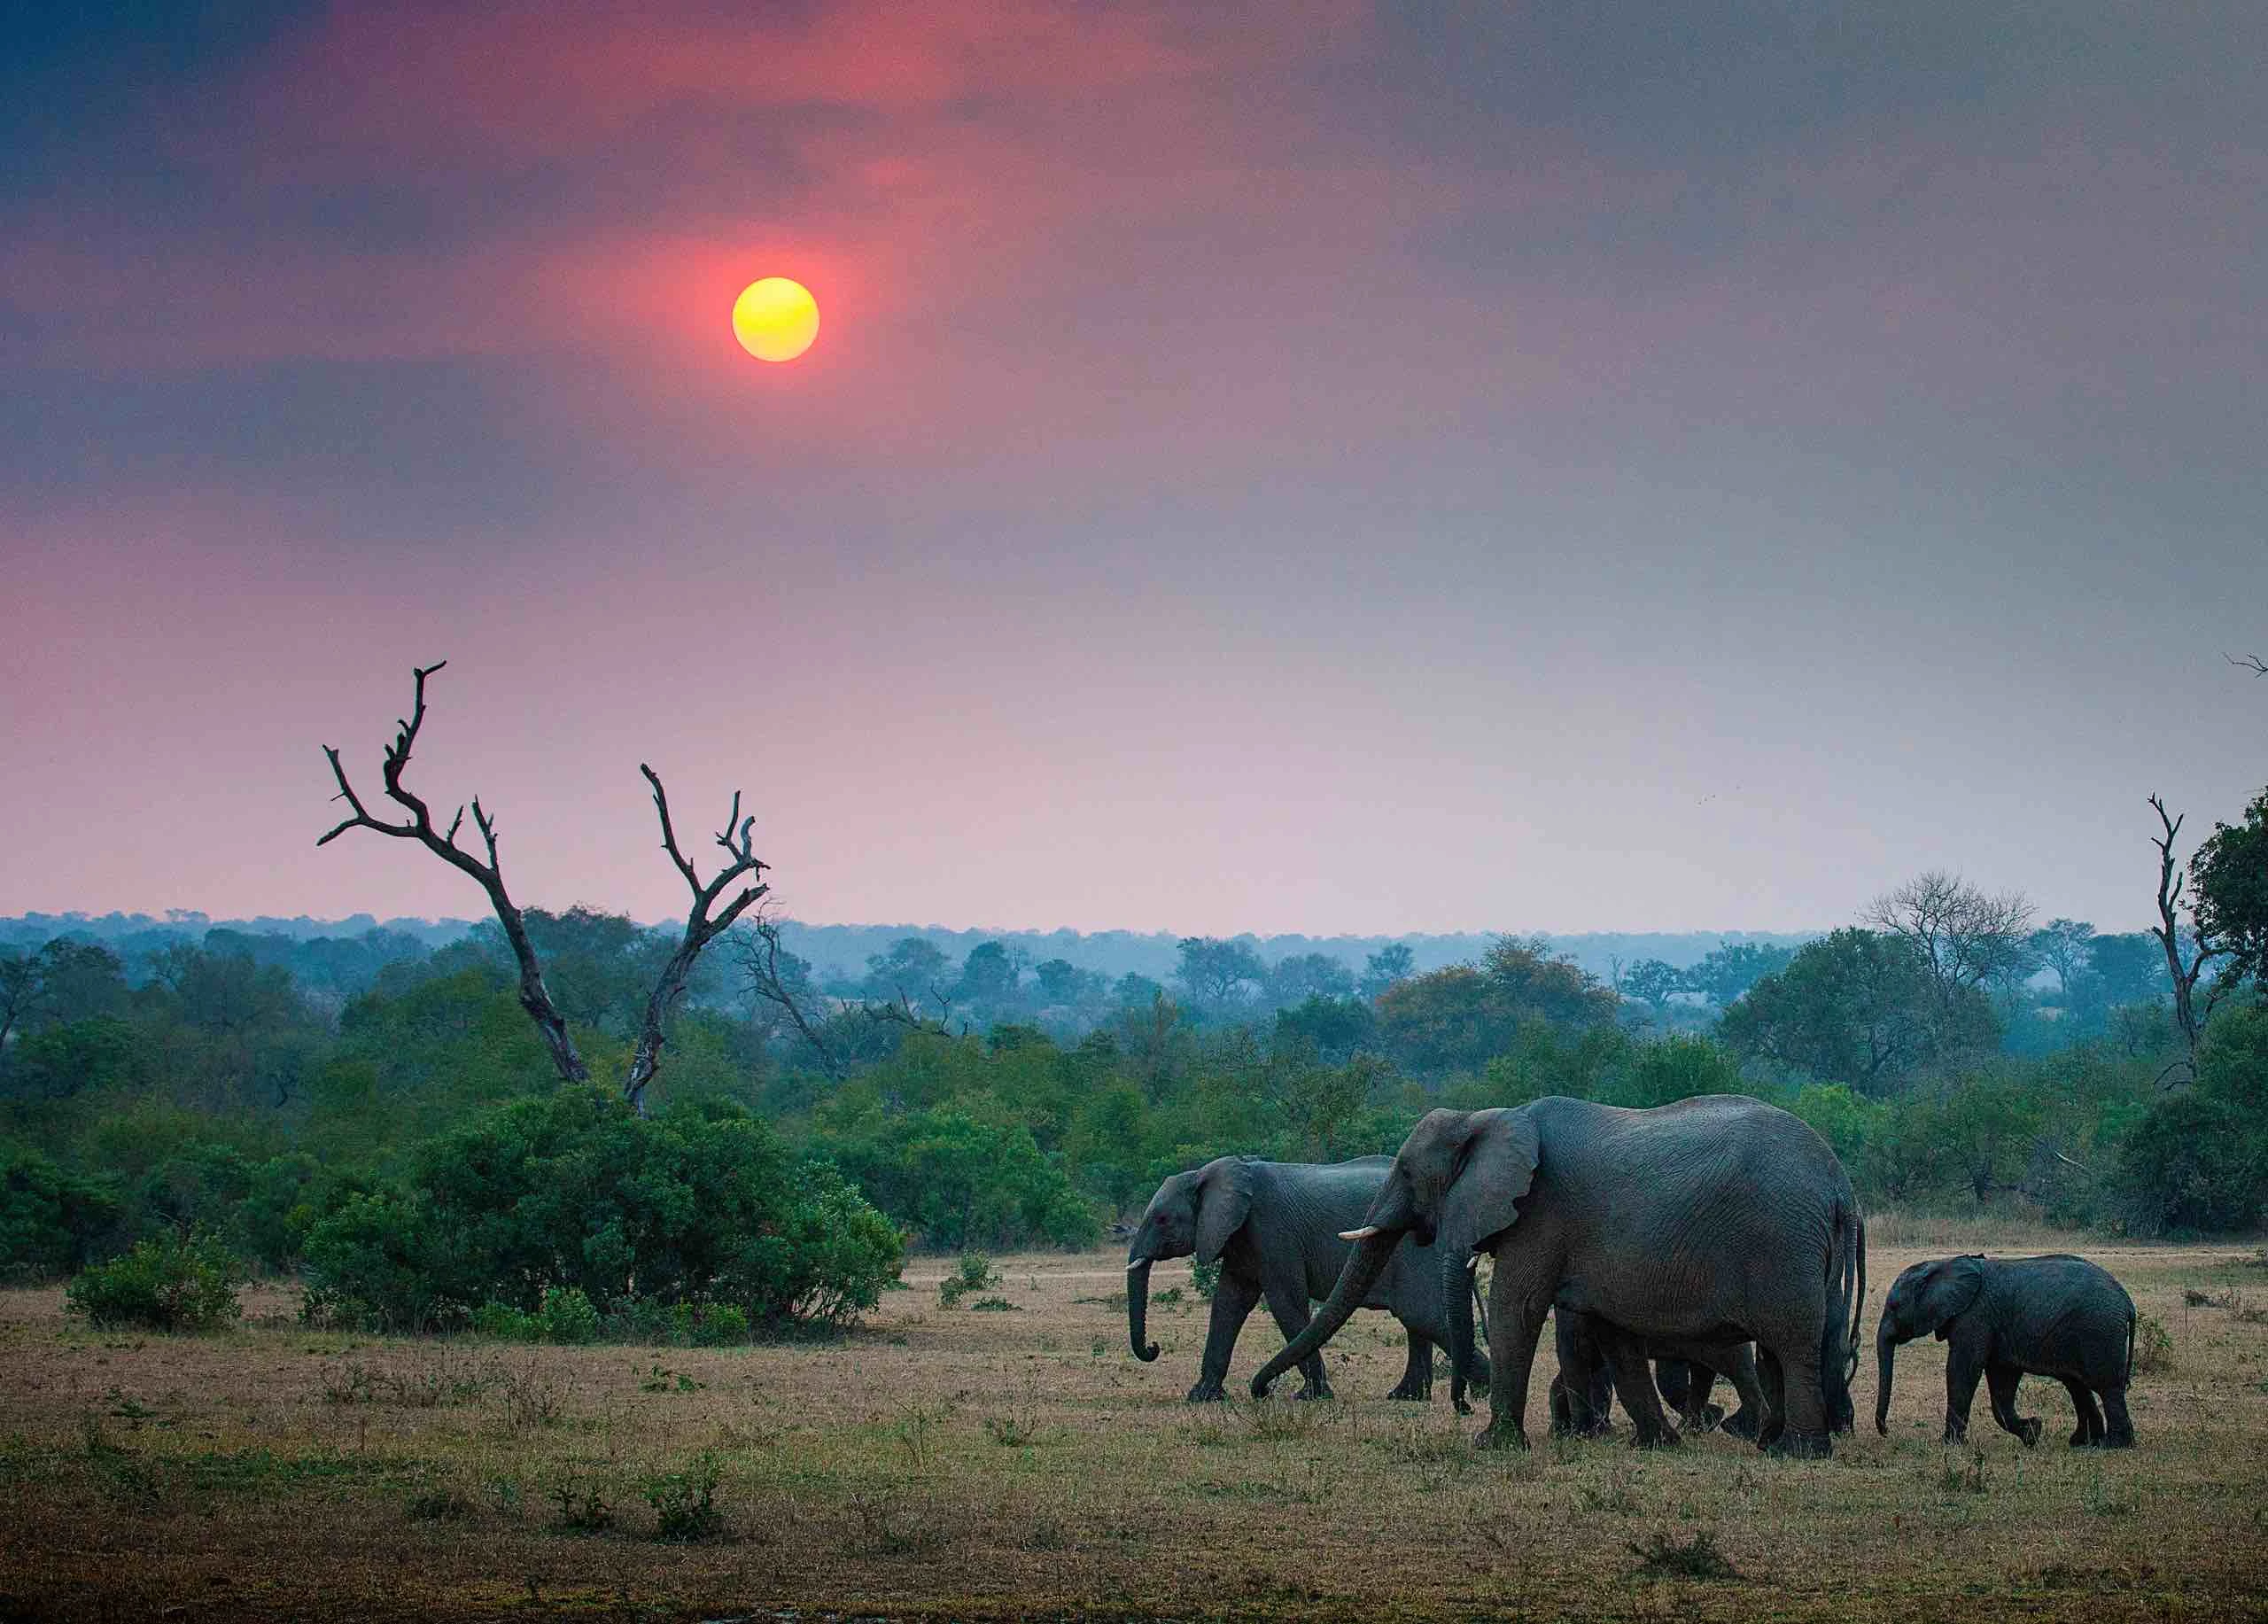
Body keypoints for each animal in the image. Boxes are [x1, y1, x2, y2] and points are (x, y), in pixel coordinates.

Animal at [1129, 1156, 1487, 1406]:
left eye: (1161, 1219)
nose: (1153, 1347)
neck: (1209, 1173)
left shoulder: (1272, 1232)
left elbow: (1285, 1302)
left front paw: (1311, 1397)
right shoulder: (1241, 1239)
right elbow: (1229, 1303)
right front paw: (1202, 1397)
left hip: (1415, 1252)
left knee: (1421, 1316)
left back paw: (1480, 1393)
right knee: (1418, 1321)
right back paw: (1406, 1397)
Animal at [1261, 1092, 1860, 1460]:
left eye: (1406, 1172)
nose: (1260, 1390)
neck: (1491, 1118)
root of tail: (1838, 1182)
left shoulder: (1541, 1211)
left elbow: (1516, 1308)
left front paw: (1491, 1445)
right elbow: (1611, 1333)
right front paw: (1655, 1446)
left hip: (1781, 1241)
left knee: (1792, 1341)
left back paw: (1797, 1453)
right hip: (1800, 1247)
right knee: (1788, 1345)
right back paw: (1771, 1445)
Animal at [1868, 1252, 2132, 1442]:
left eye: (1893, 1306)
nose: (1886, 1431)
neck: (1941, 1264)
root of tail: (2126, 1300)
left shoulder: (1975, 1315)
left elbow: (1963, 1368)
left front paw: (1950, 1444)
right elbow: (2002, 1380)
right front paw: (2033, 1432)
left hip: (2100, 1331)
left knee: (2106, 1386)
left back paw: (2113, 1445)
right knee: (2077, 1384)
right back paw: (2084, 1443)